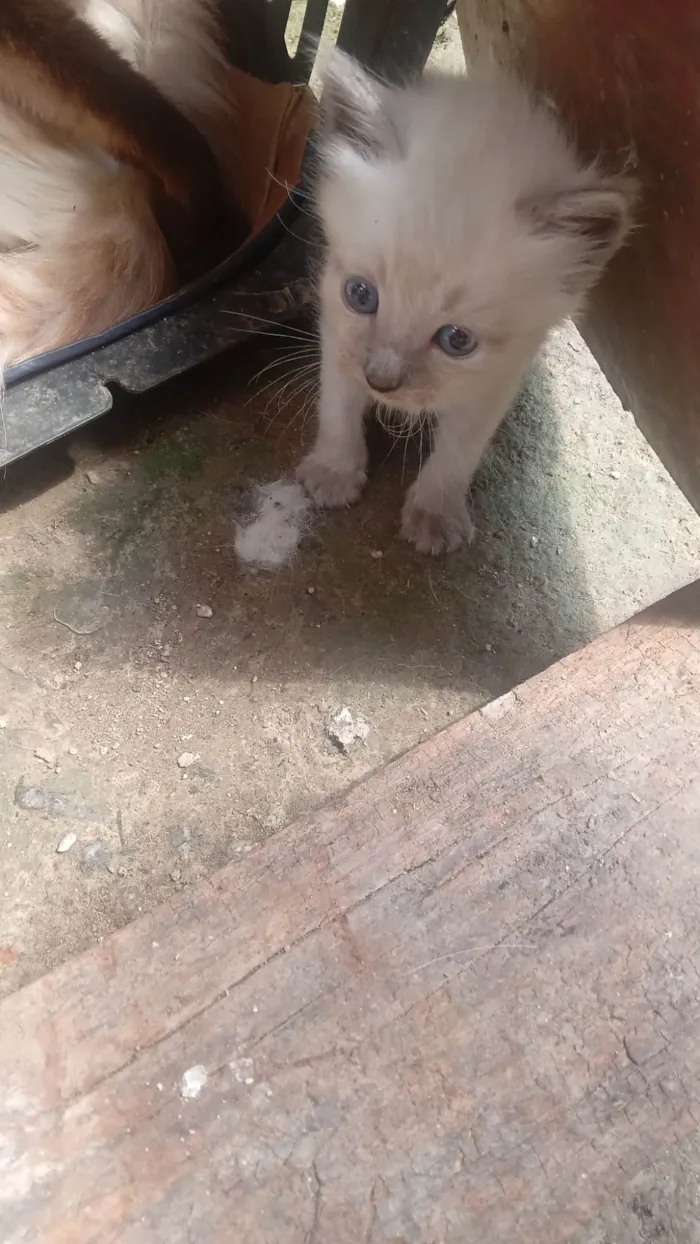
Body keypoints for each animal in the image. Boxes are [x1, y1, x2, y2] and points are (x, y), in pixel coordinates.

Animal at [295, 51, 636, 552]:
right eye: (361, 295)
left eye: (457, 340)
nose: (381, 382)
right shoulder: (336, 323)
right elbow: (337, 401)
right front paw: (334, 470)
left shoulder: (500, 372)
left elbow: (460, 448)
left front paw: (435, 513)